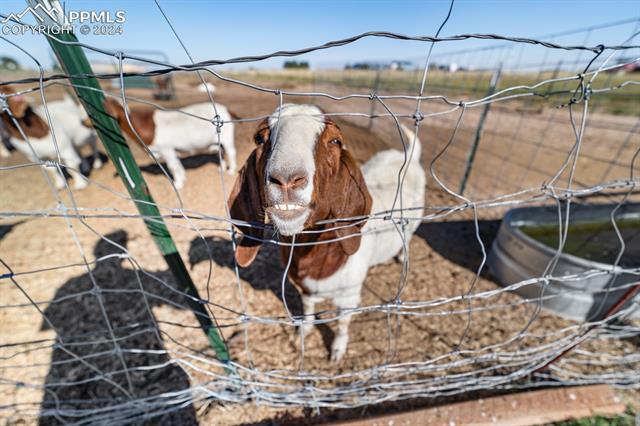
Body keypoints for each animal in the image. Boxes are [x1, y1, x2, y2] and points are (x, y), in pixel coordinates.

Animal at [101, 99, 236, 189]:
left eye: (106, 105)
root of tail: (226, 109)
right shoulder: (171, 150)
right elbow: (177, 164)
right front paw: (182, 178)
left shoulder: (166, 149)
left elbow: (172, 166)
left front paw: (177, 184)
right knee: (220, 151)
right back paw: (221, 168)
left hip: (226, 136)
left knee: (231, 151)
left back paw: (231, 170)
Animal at [229, 105, 424, 362]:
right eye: (259, 138)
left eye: (335, 141)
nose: (287, 178)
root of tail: (408, 157)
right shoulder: (304, 286)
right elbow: (309, 308)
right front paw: (304, 332)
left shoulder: (349, 296)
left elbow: (342, 323)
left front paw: (338, 350)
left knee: (408, 238)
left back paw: (402, 256)